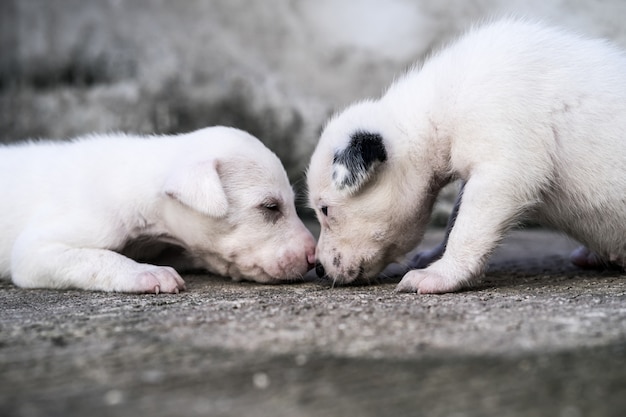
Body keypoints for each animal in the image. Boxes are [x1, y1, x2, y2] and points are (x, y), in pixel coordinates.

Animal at [306, 18, 624, 292]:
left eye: (325, 209)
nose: (318, 268)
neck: (440, 101)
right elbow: (454, 221)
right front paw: (436, 256)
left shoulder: (502, 171)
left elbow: (466, 228)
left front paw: (442, 273)